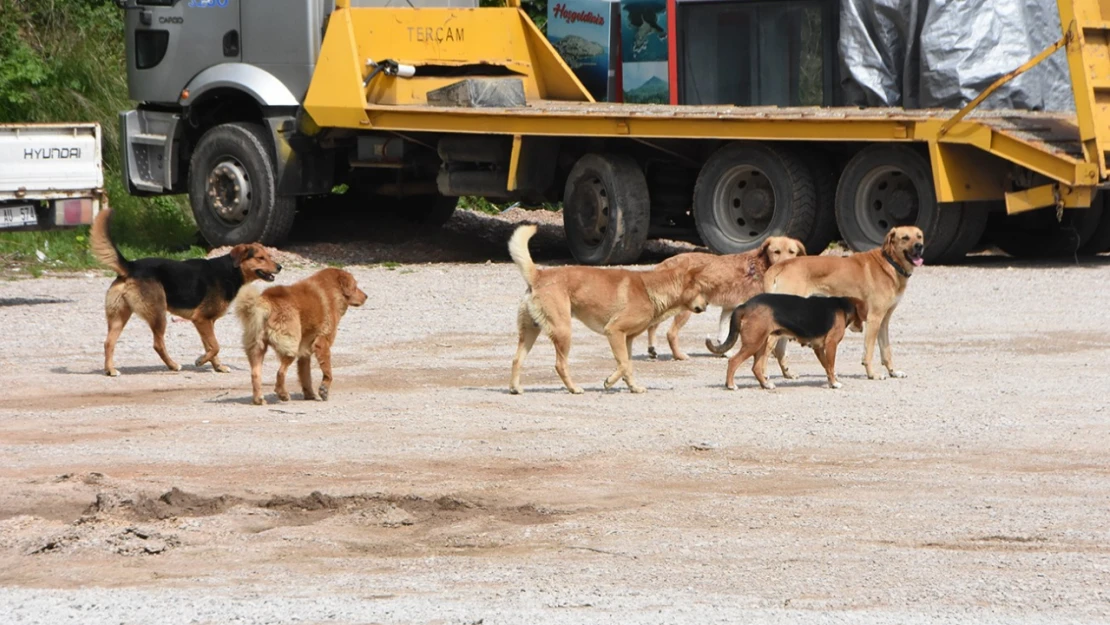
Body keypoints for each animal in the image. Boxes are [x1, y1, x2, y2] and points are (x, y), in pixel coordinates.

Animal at [238, 267, 368, 406]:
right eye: (355, 286)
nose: (366, 296)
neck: (332, 291)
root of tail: (266, 302)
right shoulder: (322, 342)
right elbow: (327, 371)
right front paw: (324, 390)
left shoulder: (305, 351)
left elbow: (306, 376)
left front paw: (310, 394)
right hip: (290, 346)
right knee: (280, 372)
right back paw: (283, 394)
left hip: (257, 347)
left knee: (255, 374)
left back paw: (259, 399)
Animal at [508, 222, 705, 392]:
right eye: (700, 290)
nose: (705, 305)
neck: (650, 290)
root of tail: (538, 275)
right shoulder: (614, 331)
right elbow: (623, 364)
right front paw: (609, 381)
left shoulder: (627, 338)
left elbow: (628, 365)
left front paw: (633, 387)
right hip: (563, 331)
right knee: (560, 365)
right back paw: (574, 388)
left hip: (531, 331)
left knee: (516, 359)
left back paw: (515, 388)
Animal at [643, 236, 808, 361]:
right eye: (776, 251)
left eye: (792, 252)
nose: (786, 264)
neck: (759, 266)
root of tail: (664, 263)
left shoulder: (729, 308)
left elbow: (723, 334)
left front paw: (724, 352)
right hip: (684, 310)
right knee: (670, 333)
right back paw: (679, 355)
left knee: (653, 326)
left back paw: (652, 349)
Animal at [705, 295, 870, 390]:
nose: (862, 329)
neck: (843, 306)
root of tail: (745, 305)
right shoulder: (831, 344)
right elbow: (830, 366)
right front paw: (835, 383)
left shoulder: (818, 348)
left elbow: (827, 367)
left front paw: (831, 382)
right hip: (753, 344)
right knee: (733, 361)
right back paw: (731, 385)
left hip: (762, 343)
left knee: (756, 367)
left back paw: (766, 385)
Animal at [763, 226, 927, 381]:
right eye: (905, 238)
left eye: (919, 236)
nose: (919, 246)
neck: (890, 263)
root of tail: (782, 265)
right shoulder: (874, 319)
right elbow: (869, 352)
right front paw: (872, 374)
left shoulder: (884, 320)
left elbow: (886, 351)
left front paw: (893, 372)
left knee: (779, 349)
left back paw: (788, 374)